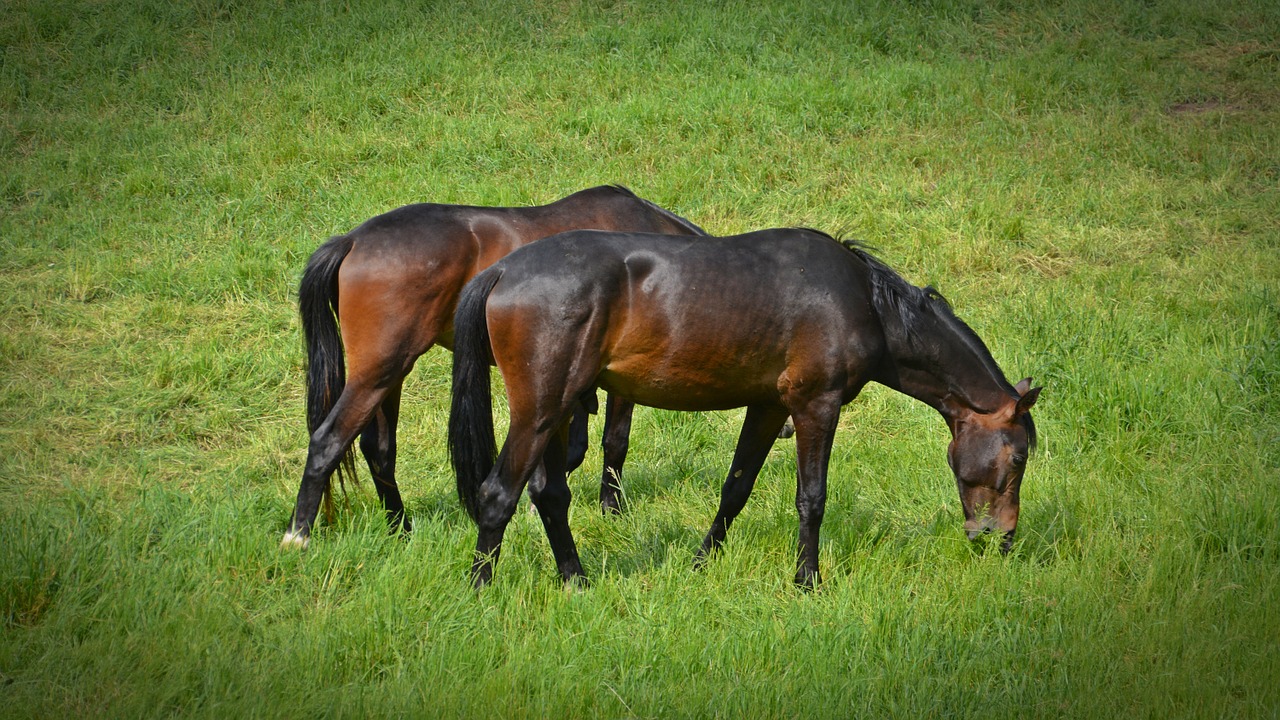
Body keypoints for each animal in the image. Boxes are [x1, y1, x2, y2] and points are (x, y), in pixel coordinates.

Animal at [282, 183, 711, 543]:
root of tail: (352, 241)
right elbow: (614, 443)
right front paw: (611, 512)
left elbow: (574, 448)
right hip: (379, 371)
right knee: (328, 441)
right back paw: (298, 536)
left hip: (391, 373)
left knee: (378, 449)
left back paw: (400, 531)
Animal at [445, 226, 1034, 586]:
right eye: (1020, 456)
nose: (1003, 539)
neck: (865, 301)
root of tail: (503, 271)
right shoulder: (816, 406)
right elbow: (812, 499)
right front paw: (807, 581)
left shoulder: (768, 408)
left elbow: (735, 489)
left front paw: (702, 562)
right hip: (541, 409)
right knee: (498, 495)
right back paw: (480, 589)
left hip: (560, 409)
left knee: (550, 495)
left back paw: (577, 580)